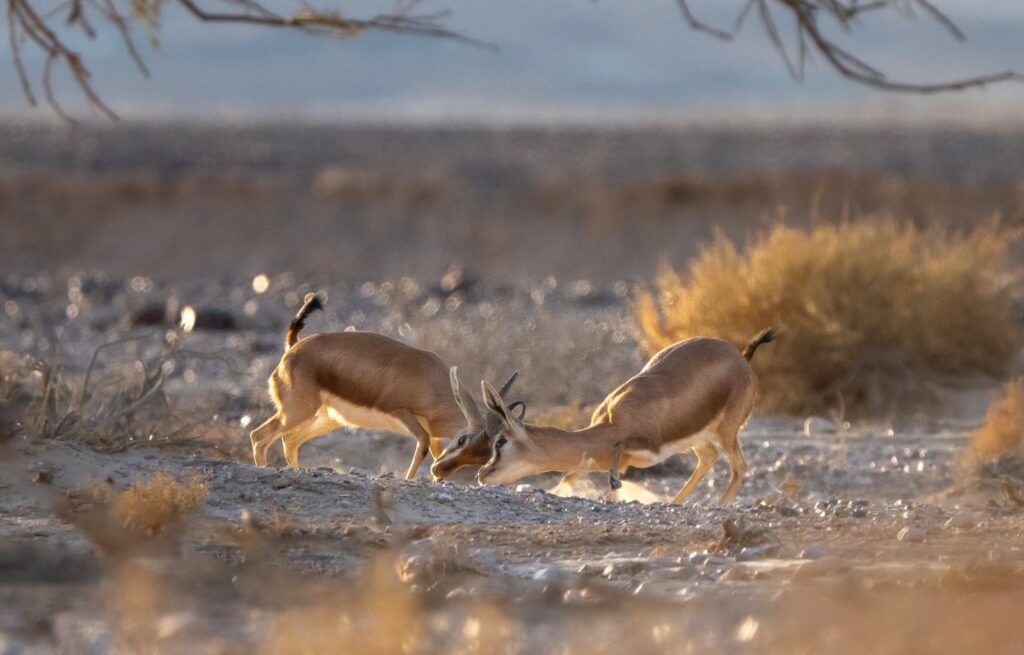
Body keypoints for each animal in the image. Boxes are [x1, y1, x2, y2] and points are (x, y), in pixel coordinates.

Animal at [250, 294, 519, 479]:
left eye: (482, 457)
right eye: (462, 440)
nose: (440, 470)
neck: (432, 381)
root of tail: (294, 346)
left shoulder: (434, 433)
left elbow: (431, 449)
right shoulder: (403, 413)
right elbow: (422, 444)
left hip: (327, 419)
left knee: (290, 441)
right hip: (296, 413)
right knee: (259, 436)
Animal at [474, 329, 776, 504]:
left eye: (500, 441)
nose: (481, 473)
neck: (610, 426)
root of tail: (741, 356)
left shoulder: (647, 445)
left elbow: (619, 450)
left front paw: (615, 482)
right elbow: (567, 478)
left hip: (726, 431)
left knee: (739, 467)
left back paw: (716, 506)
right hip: (698, 438)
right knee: (709, 457)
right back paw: (673, 503)